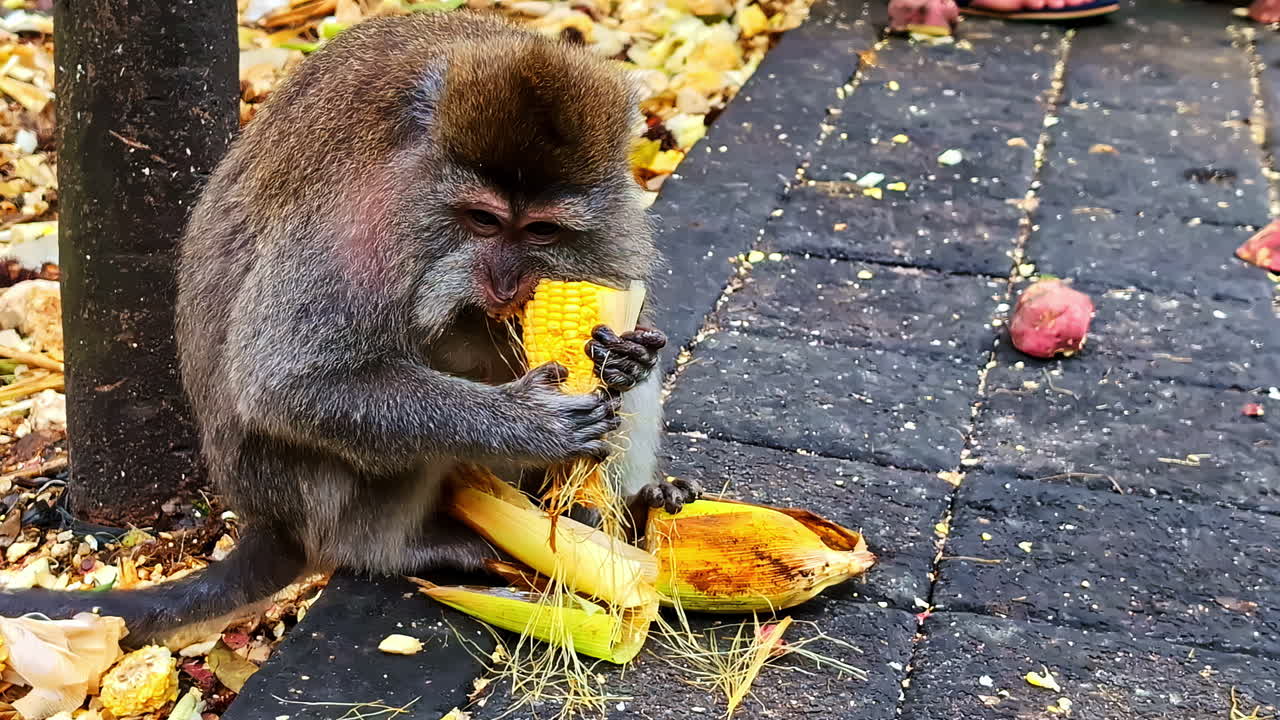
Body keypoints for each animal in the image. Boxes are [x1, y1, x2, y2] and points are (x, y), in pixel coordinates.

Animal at [0, 10, 699, 645]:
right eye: (482, 220)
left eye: (542, 231)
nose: (505, 284)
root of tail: (270, 519)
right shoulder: (364, 225)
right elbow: (290, 385)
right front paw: (531, 422)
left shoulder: (610, 225)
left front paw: (624, 357)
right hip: (322, 497)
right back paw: (393, 549)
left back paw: (636, 505)